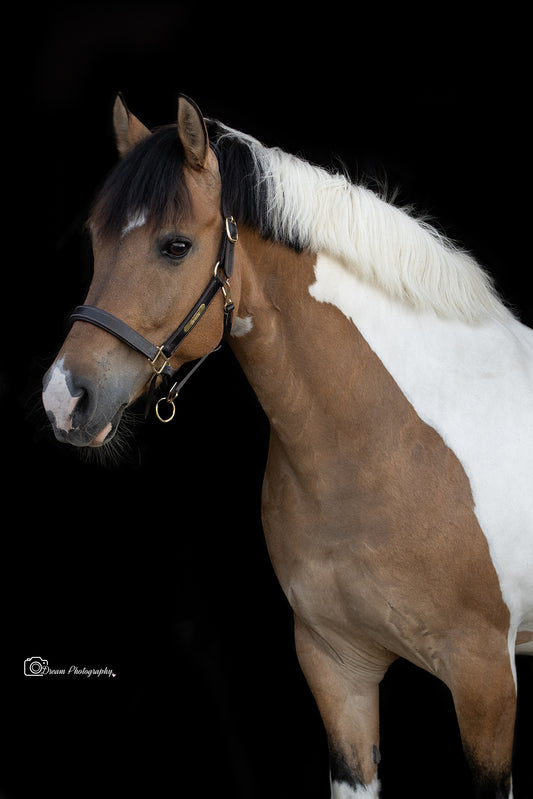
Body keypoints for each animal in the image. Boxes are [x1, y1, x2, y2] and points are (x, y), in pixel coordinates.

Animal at [42, 95, 532, 799]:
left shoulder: (486, 678)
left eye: (175, 246)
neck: (392, 447)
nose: (64, 398)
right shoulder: (337, 668)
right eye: (95, 240)